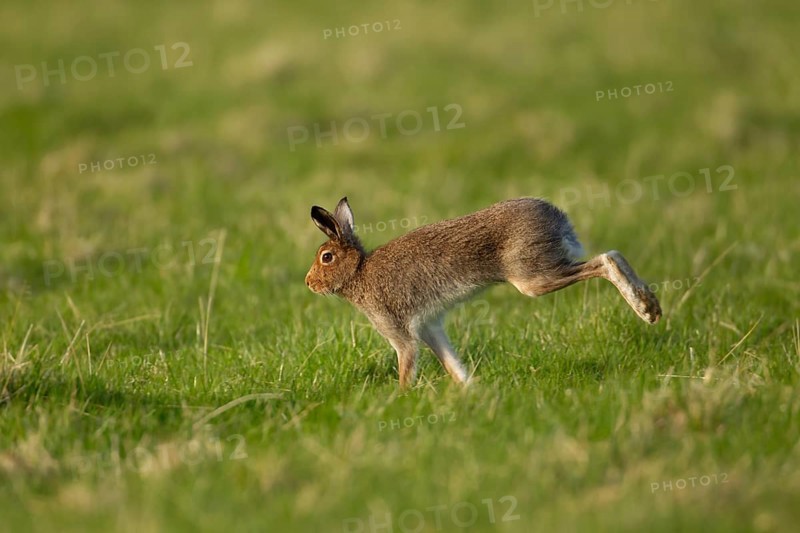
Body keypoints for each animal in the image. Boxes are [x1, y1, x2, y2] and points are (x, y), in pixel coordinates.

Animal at [305, 197, 661, 388]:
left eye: (326, 257)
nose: (309, 283)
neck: (358, 272)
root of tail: (559, 220)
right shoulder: (429, 326)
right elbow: (452, 364)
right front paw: (470, 390)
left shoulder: (397, 330)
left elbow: (406, 361)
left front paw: (401, 397)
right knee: (613, 254)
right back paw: (652, 306)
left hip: (531, 278)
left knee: (605, 261)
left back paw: (644, 309)